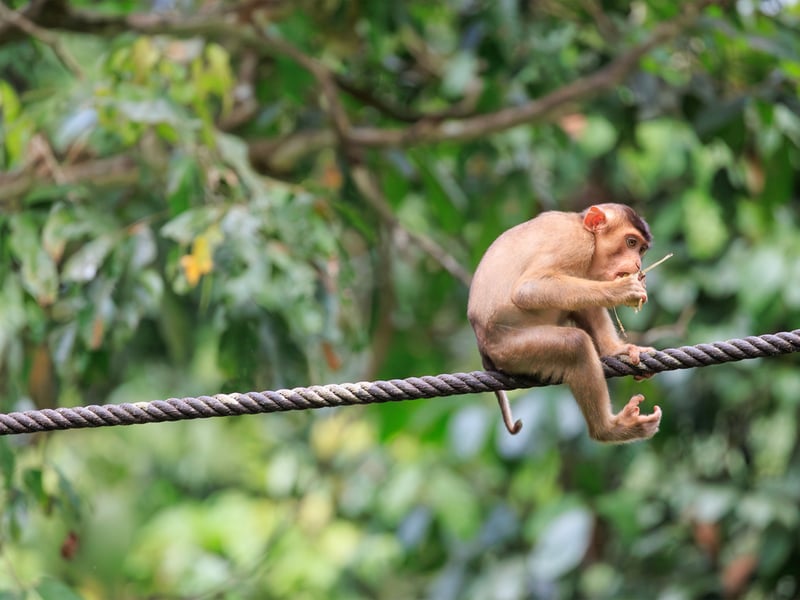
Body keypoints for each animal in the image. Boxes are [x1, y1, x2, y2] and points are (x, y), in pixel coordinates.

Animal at [467, 203, 662, 443]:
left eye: (641, 249)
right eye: (631, 242)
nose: (637, 263)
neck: (585, 230)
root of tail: (483, 347)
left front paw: (617, 350)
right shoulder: (575, 244)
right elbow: (528, 289)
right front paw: (622, 290)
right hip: (510, 349)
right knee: (575, 344)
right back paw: (608, 429)